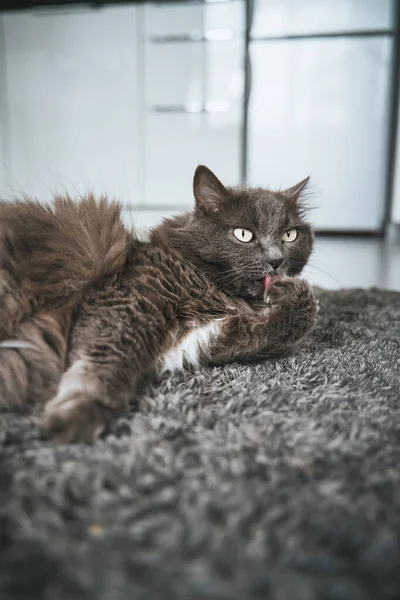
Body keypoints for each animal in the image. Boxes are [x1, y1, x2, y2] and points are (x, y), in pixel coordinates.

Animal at [0, 164, 318, 440]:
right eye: (243, 234)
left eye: (289, 235)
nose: (276, 261)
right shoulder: (124, 302)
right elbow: (104, 361)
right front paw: (77, 416)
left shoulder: (199, 338)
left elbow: (281, 326)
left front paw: (291, 293)